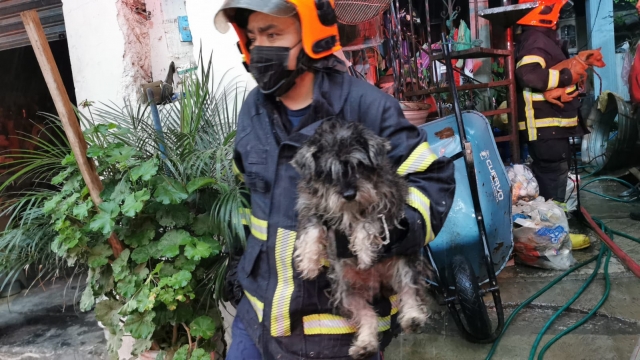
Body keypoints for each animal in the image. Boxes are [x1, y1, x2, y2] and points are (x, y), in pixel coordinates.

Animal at [292, 119, 432, 358]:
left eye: (359, 165)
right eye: (329, 172)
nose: (349, 194)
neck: (349, 208)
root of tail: (376, 284)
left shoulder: (386, 205)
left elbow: (366, 223)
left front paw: (365, 253)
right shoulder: (311, 207)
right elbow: (311, 230)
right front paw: (309, 263)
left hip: (405, 263)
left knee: (409, 290)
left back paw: (413, 318)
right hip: (346, 293)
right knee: (367, 314)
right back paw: (365, 344)